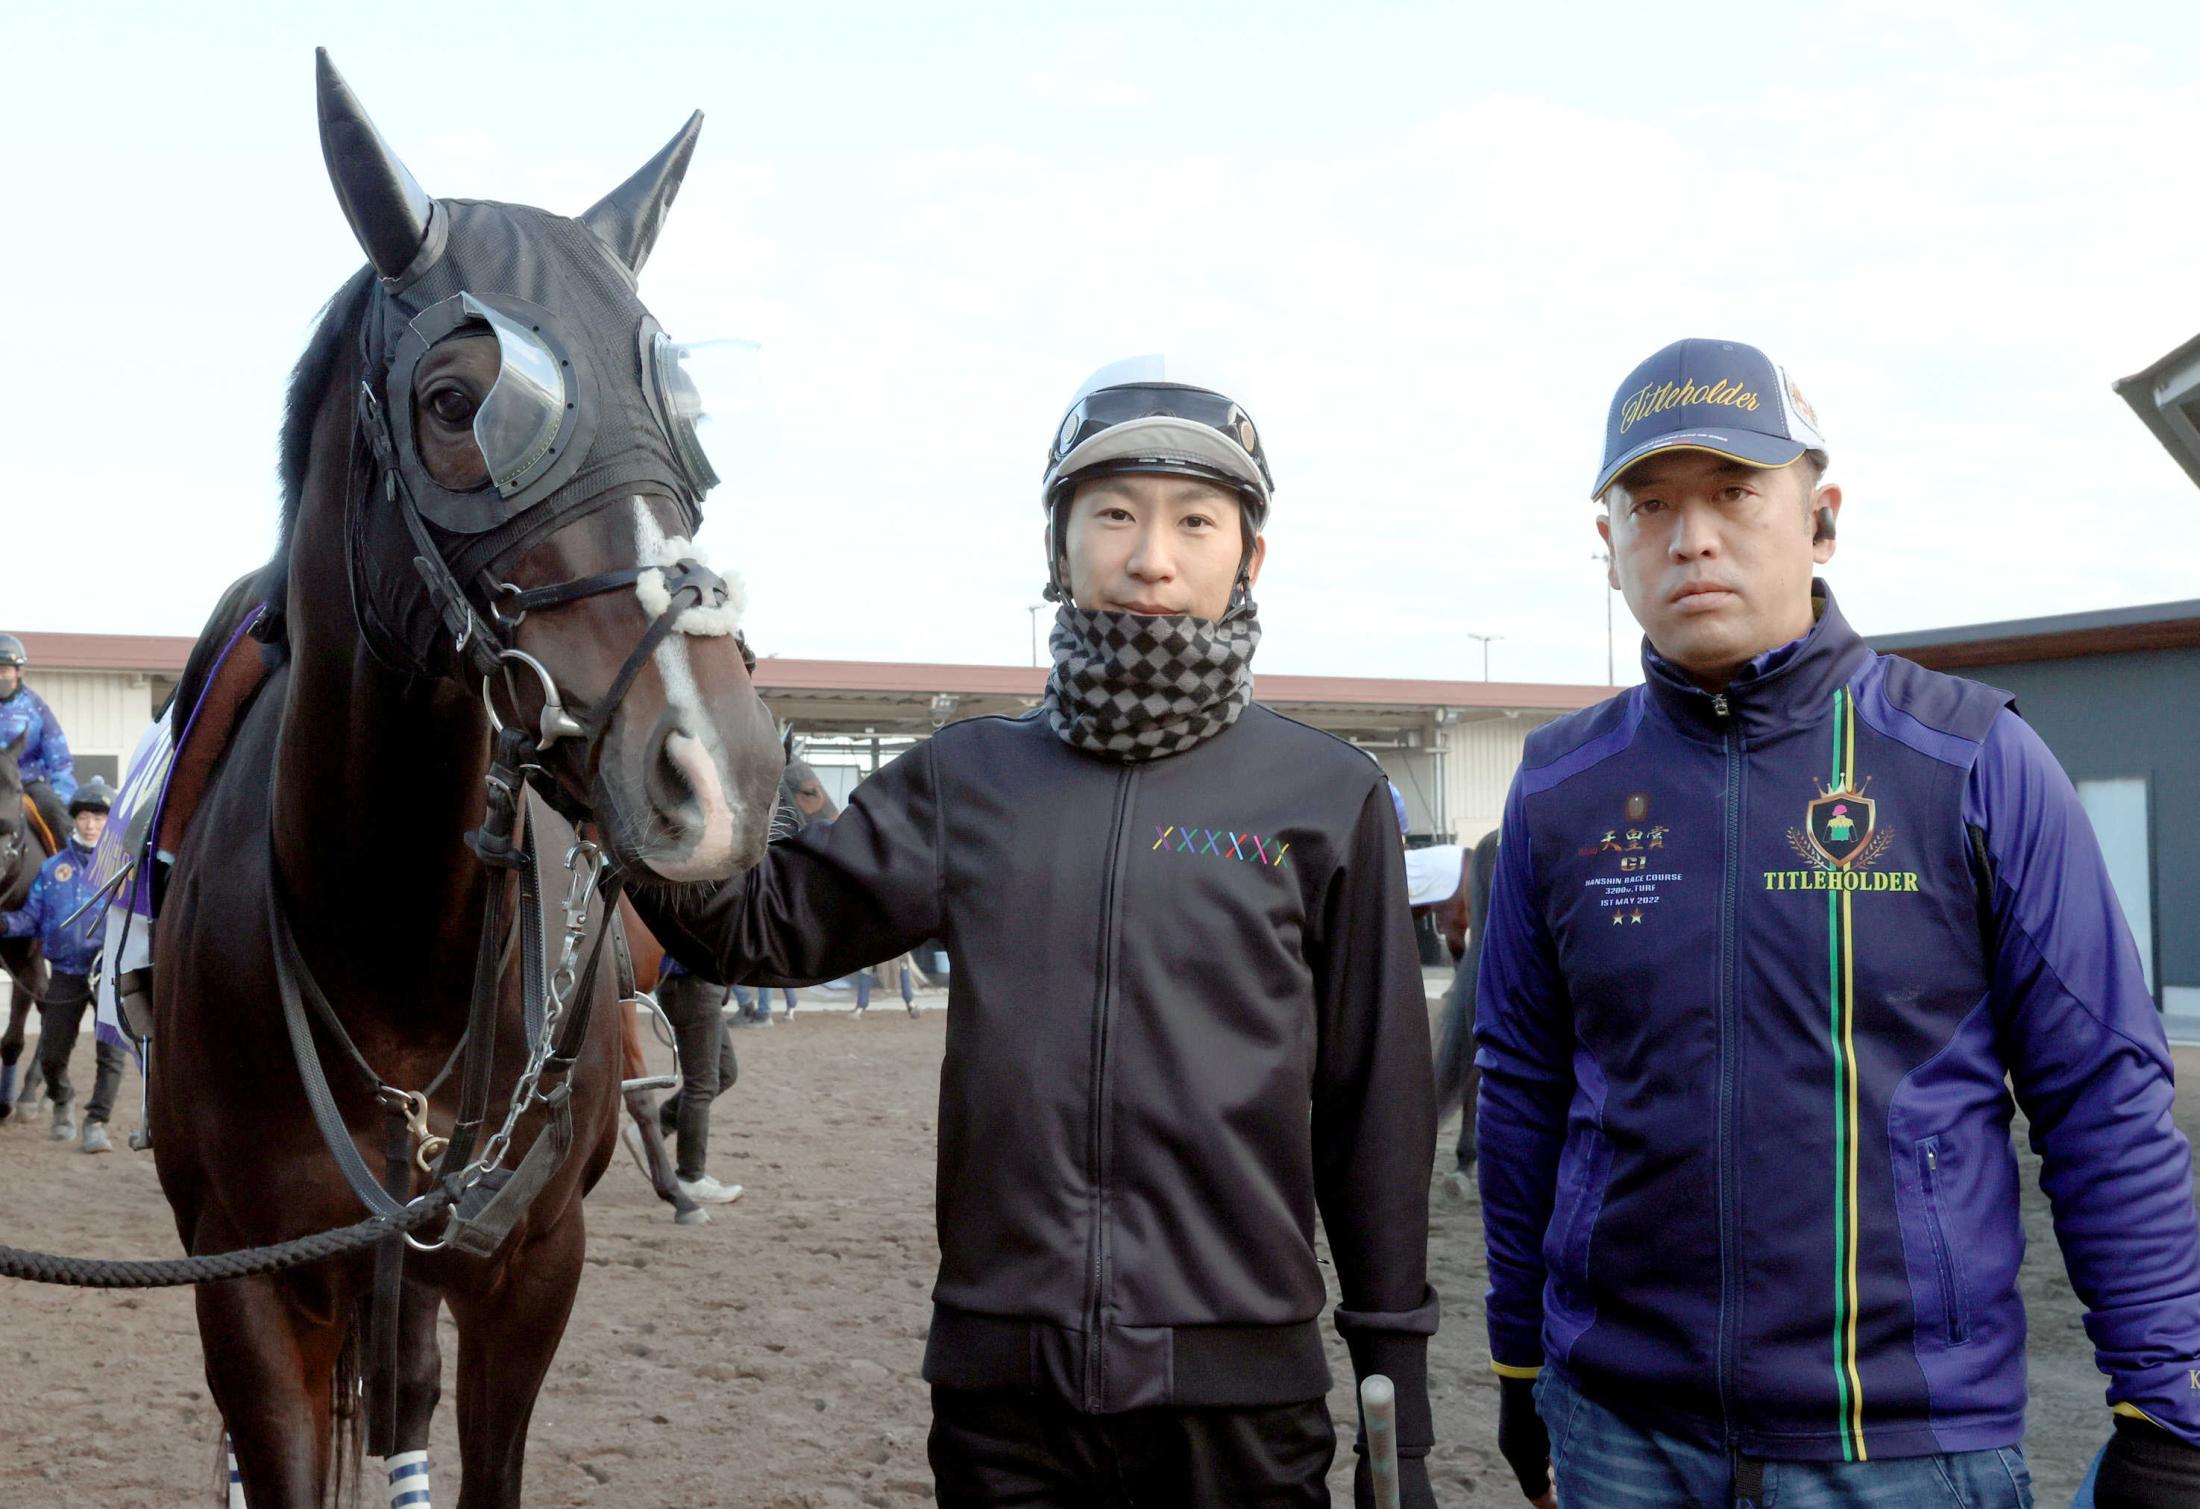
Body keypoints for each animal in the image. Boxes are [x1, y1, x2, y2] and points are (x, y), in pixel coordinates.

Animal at [148, 53, 783, 1504]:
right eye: (456, 403)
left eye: (683, 417)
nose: (720, 769)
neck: (390, 957)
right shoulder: (246, 1280)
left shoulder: (526, 1267)